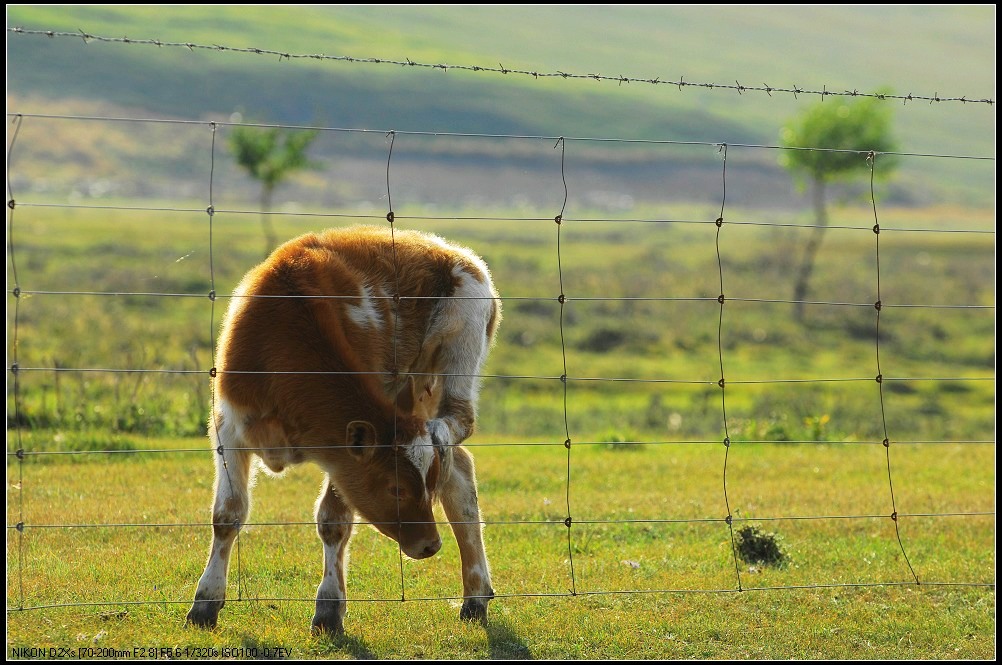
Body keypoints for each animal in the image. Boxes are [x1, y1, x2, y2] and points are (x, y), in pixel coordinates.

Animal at [186, 224, 498, 632]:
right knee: (459, 471)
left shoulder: (343, 451)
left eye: (423, 487)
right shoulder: (230, 429)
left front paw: (329, 607)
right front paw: (205, 602)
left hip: (456, 354)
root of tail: (455, 253)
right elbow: (228, 515)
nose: (431, 545)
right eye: (395, 488)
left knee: (457, 426)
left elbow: (334, 521)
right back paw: (475, 596)